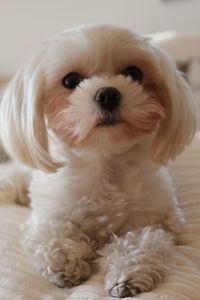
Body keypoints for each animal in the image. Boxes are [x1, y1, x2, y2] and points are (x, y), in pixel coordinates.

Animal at [0, 25, 198, 298]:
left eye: (134, 73)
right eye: (70, 80)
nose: (108, 93)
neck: (104, 161)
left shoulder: (156, 220)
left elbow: (144, 240)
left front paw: (126, 274)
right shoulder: (47, 216)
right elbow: (54, 235)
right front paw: (65, 264)